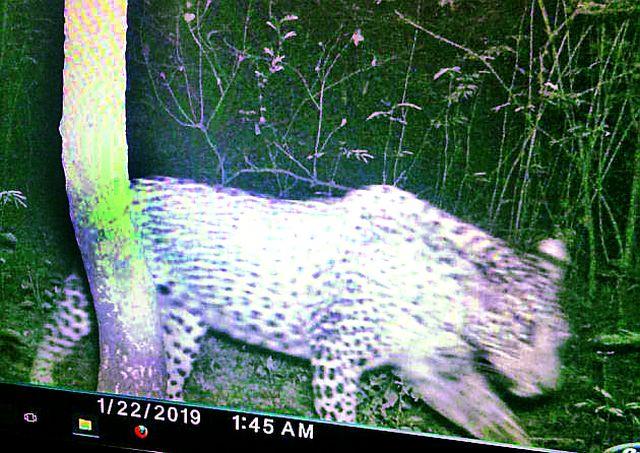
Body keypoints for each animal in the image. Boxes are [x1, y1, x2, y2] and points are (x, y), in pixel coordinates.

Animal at [30, 177, 569, 444]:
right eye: (523, 329)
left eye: (560, 339)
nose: (548, 387)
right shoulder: (336, 359)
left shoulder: (437, 373)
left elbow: (496, 422)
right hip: (99, 289)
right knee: (56, 331)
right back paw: (39, 375)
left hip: (183, 325)